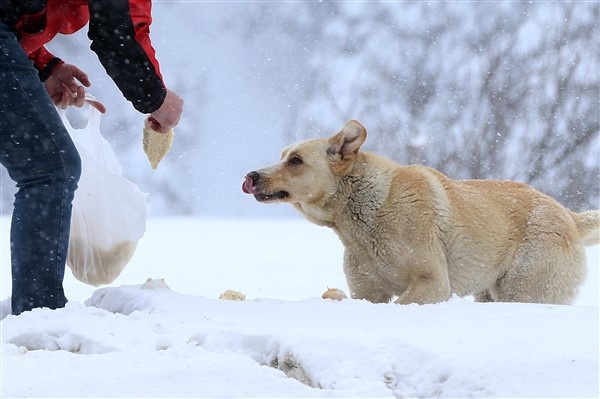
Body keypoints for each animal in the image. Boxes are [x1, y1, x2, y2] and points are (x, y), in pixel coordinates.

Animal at [241, 120, 596, 304]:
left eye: (296, 160)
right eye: (283, 155)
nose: (252, 176)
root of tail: (570, 216)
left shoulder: (433, 281)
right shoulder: (368, 289)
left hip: (527, 283)